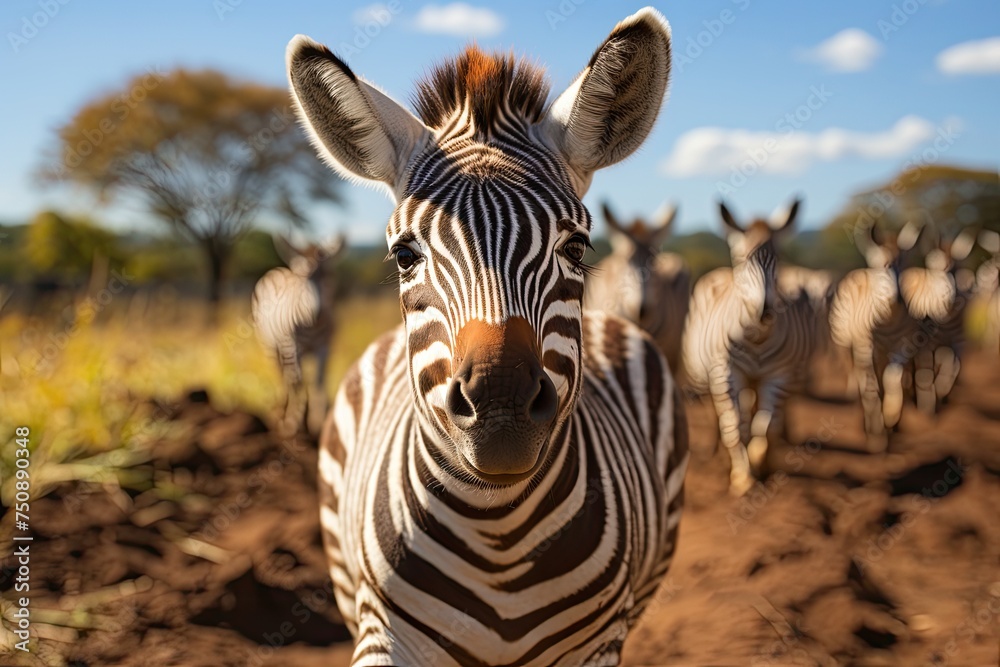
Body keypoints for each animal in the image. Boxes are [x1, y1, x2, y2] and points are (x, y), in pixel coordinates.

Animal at [251, 234, 344, 436]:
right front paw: (296, 424)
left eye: (329, 276)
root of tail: (277, 269)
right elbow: (298, 382)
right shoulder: (294, 346)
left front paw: (317, 423)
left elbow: (319, 381)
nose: (318, 316)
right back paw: (281, 410)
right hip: (271, 344)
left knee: (290, 375)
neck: (313, 327)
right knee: (282, 375)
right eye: (303, 279)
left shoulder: (325, 347)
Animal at [682, 198, 811, 496]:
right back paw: (717, 452)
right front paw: (742, 478)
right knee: (722, 417)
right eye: (741, 261)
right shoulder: (725, 373)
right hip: (711, 377)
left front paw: (760, 463)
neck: (757, 338)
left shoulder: (778, 375)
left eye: (780, 261)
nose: (764, 312)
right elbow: (734, 426)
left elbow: (766, 426)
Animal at [828, 221, 924, 449]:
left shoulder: (902, 348)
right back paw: (867, 425)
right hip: (847, 344)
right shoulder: (868, 349)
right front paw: (878, 435)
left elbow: (893, 379)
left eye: (903, 265)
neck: (889, 321)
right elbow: (873, 388)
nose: (897, 300)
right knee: (860, 382)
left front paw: (890, 417)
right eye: (881, 266)